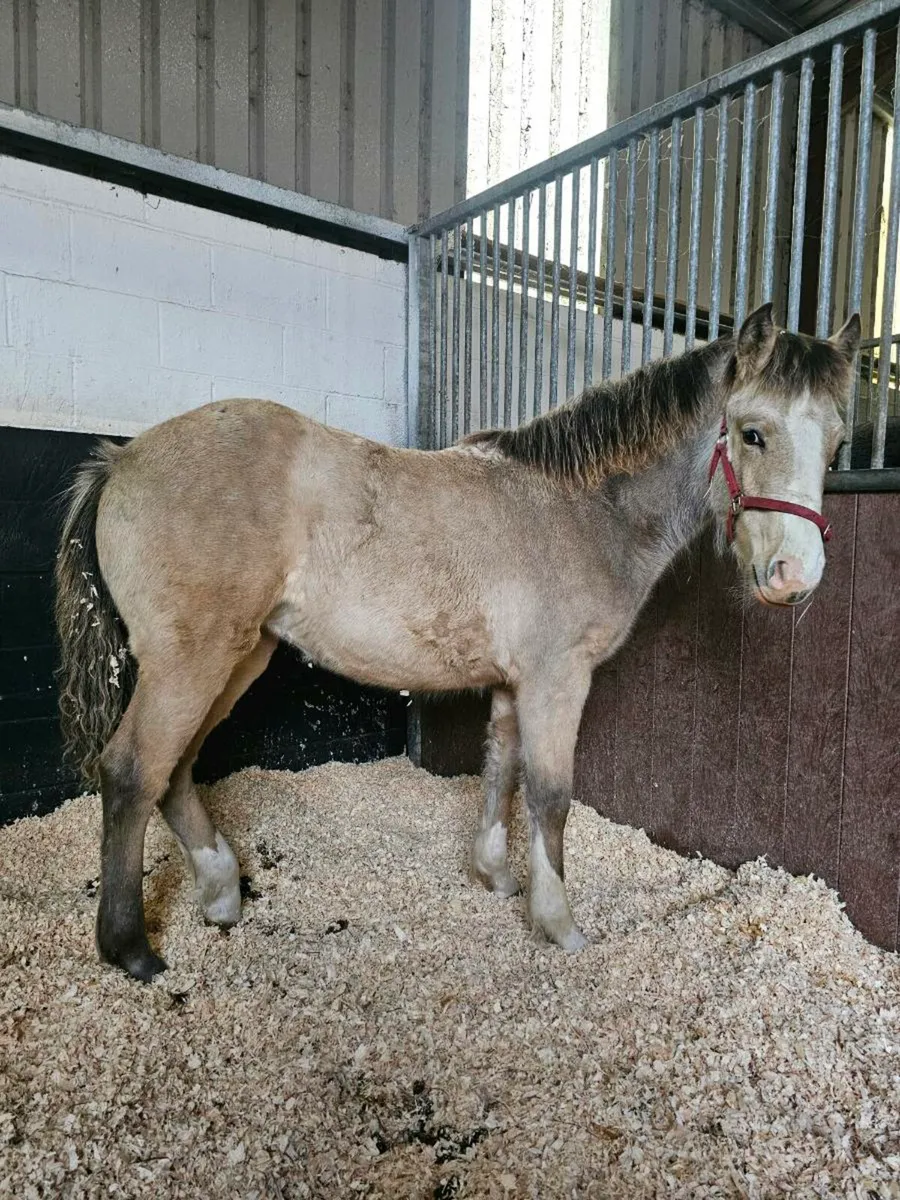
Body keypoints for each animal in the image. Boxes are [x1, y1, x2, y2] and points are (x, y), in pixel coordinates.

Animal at [54, 302, 860, 982]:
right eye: (752, 432)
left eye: (837, 443)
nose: (795, 577)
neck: (580, 508)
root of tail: (121, 460)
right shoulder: (557, 678)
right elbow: (550, 796)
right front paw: (558, 923)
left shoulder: (511, 684)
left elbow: (500, 773)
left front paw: (495, 878)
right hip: (192, 659)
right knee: (132, 772)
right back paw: (130, 948)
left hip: (239, 656)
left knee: (176, 768)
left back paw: (221, 892)